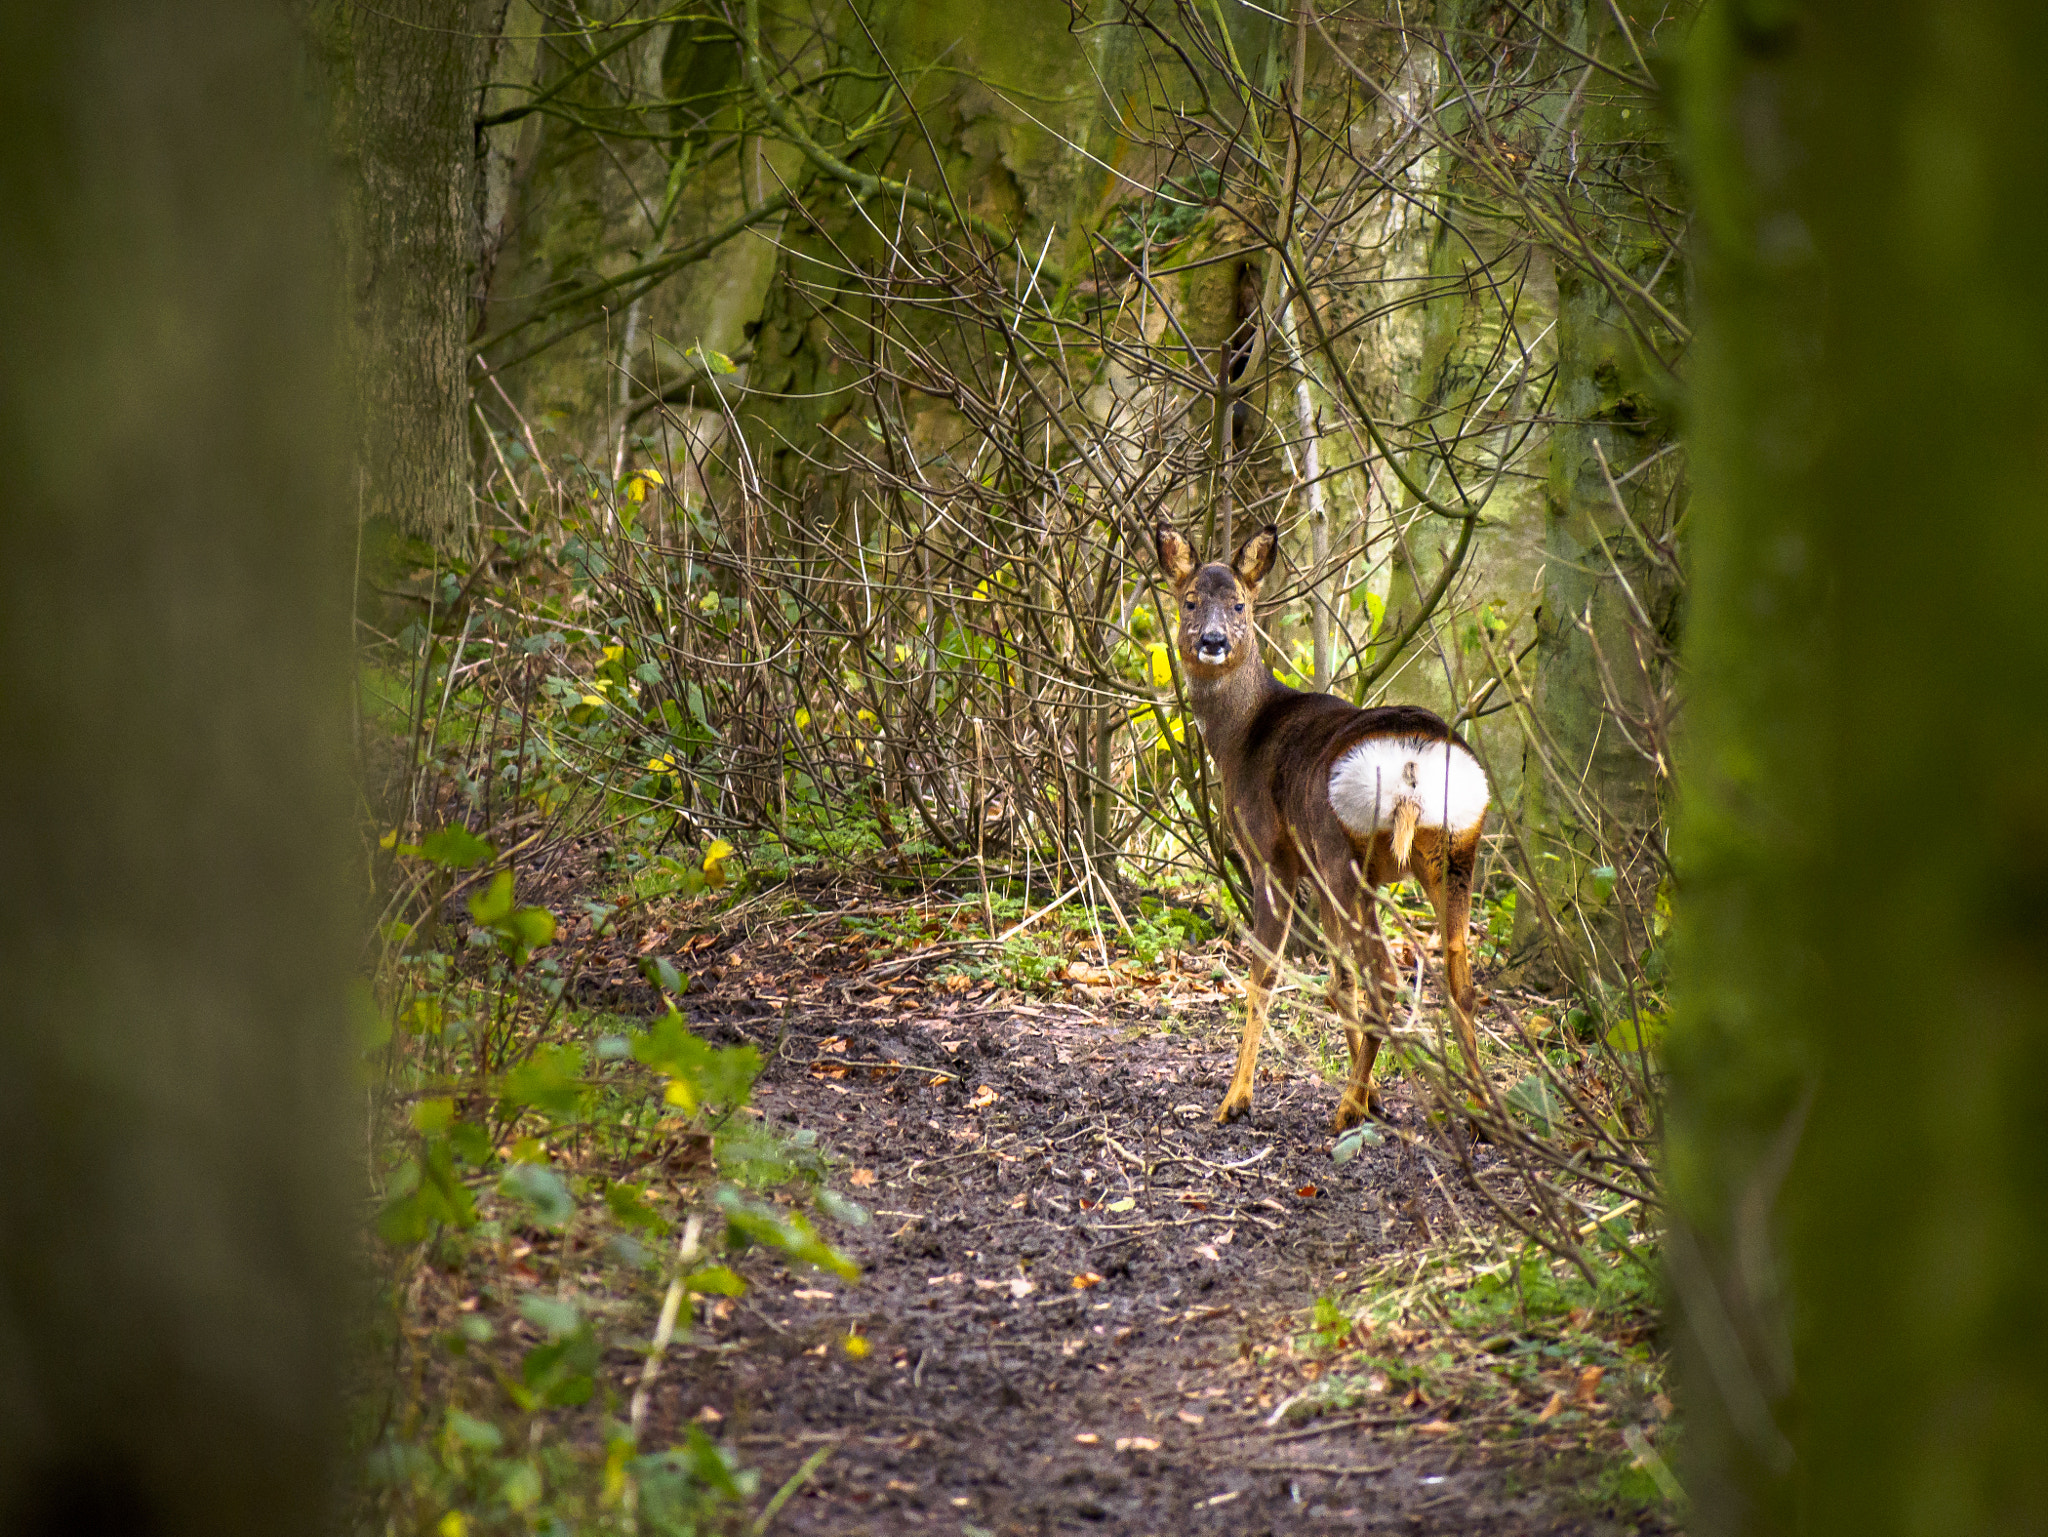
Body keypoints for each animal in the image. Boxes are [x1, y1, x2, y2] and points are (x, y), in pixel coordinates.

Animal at [1154, 521, 1490, 1130]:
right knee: (1459, 984)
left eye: (1240, 604)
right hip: (1455, 851)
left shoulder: (1270, 853)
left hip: (1345, 852)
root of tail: (1412, 764)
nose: (1212, 640)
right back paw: (1479, 1111)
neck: (1242, 736)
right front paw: (1378, 1093)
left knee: (1386, 980)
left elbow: (1265, 972)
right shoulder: (1311, 866)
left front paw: (1235, 1099)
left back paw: (1346, 1110)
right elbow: (1338, 981)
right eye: (1189, 600)